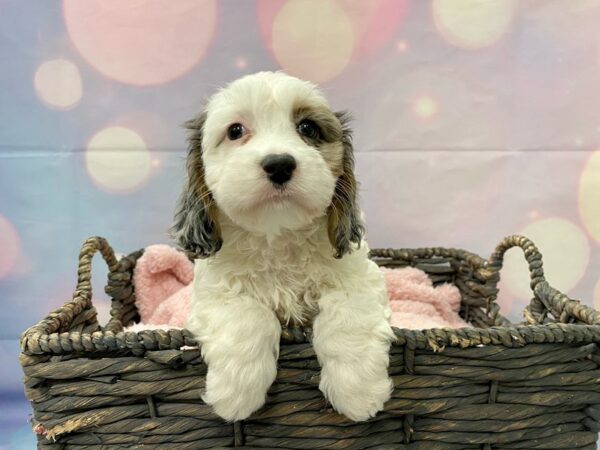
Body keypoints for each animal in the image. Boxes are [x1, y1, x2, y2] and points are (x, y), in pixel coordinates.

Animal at [171, 70, 396, 422]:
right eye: (235, 131)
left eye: (308, 128)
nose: (279, 164)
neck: (277, 235)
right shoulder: (213, 294)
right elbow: (247, 314)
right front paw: (236, 393)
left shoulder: (362, 279)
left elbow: (348, 315)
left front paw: (358, 392)